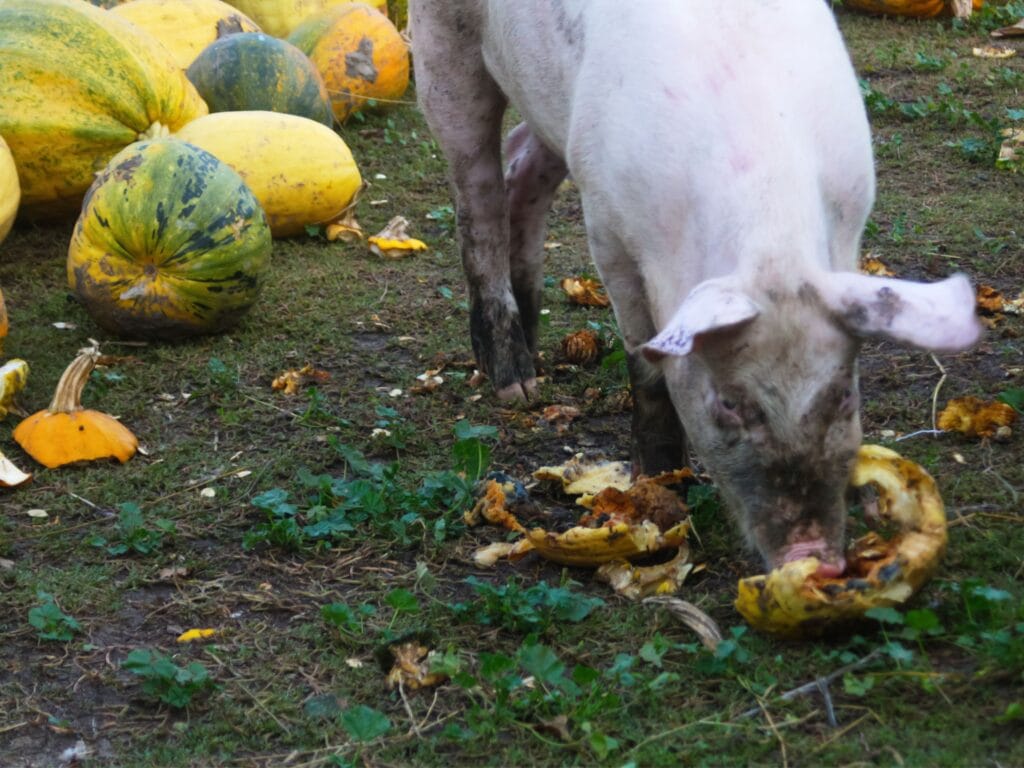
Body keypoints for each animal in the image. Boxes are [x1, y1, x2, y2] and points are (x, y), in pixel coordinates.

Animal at [409, 0, 983, 577]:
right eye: (729, 404)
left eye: (844, 395)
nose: (814, 557)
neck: (770, 242)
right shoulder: (609, 231)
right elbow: (645, 363)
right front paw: (658, 488)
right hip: (442, 51)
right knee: (478, 195)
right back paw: (518, 387)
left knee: (523, 163)